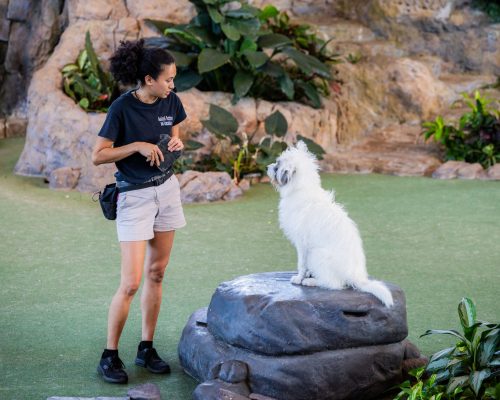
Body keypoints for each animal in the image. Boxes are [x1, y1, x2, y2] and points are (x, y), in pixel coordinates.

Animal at [267, 141, 394, 307]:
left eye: (277, 165)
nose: (267, 167)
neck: (302, 189)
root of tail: (357, 278)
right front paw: (308, 273)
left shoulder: (302, 243)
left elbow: (301, 264)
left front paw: (299, 278)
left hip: (317, 254)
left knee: (334, 284)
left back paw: (312, 282)